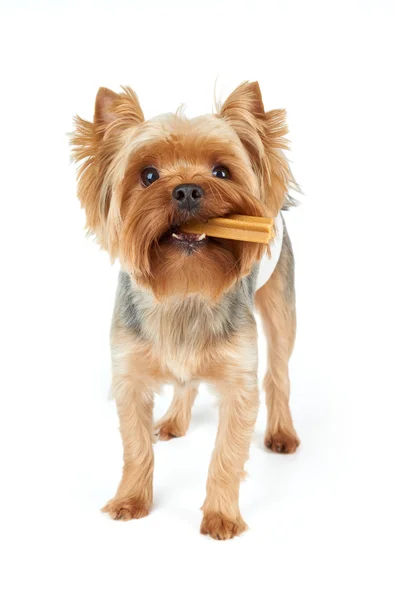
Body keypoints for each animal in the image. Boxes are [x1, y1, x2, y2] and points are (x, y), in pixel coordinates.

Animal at [70, 81, 298, 540]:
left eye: (222, 171)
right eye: (148, 175)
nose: (188, 189)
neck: (183, 292)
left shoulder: (239, 382)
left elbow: (227, 455)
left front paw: (222, 517)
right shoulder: (130, 375)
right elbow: (136, 446)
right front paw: (131, 500)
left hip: (281, 302)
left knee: (279, 372)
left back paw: (282, 431)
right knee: (185, 383)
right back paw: (174, 420)